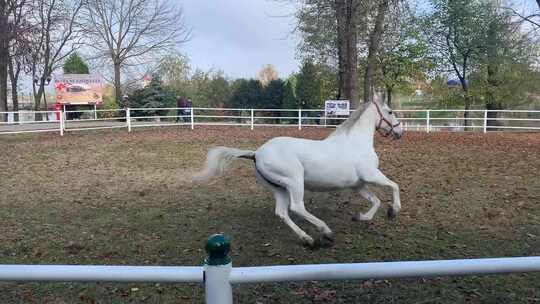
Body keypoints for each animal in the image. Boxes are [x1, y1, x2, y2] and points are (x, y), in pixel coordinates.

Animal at [196, 101, 402, 247]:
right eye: (390, 111)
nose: (400, 131)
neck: (355, 143)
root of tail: (256, 153)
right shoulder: (371, 175)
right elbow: (394, 186)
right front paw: (394, 210)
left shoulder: (358, 185)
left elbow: (376, 201)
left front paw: (361, 217)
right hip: (295, 181)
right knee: (297, 207)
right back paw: (326, 231)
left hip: (279, 188)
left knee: (282, 212)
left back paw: (307, 239)